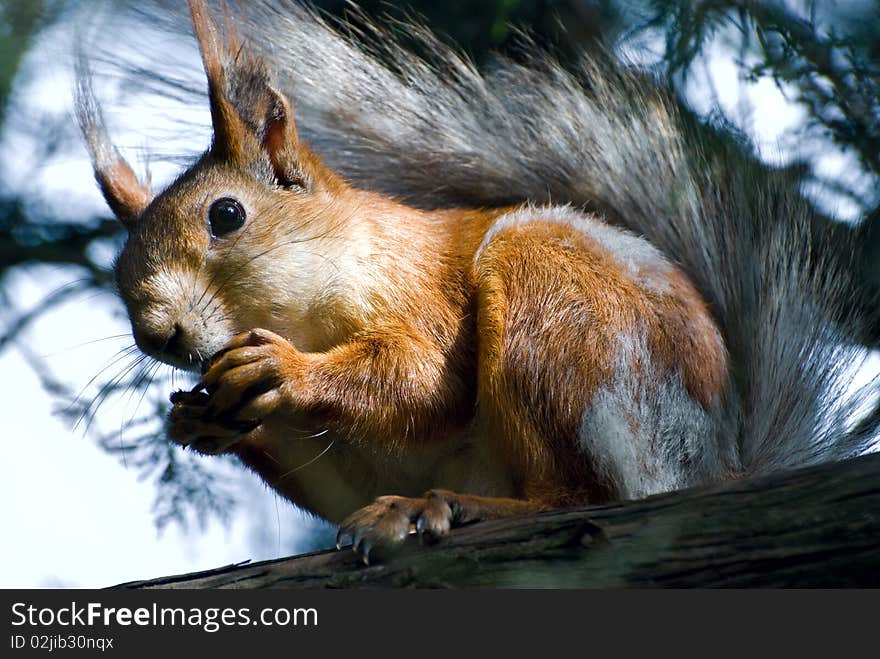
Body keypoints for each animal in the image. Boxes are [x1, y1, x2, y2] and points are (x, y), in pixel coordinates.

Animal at [77, 1, 872, 568]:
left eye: (227, 214)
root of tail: (709, 463)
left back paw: (456, 507)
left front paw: (285, 371)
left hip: (557, 320)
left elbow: (429, 383)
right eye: (117, 272)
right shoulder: (343, 462)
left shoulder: (420, 291)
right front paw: (199, 420)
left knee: (580, 498)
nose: (156, 333)